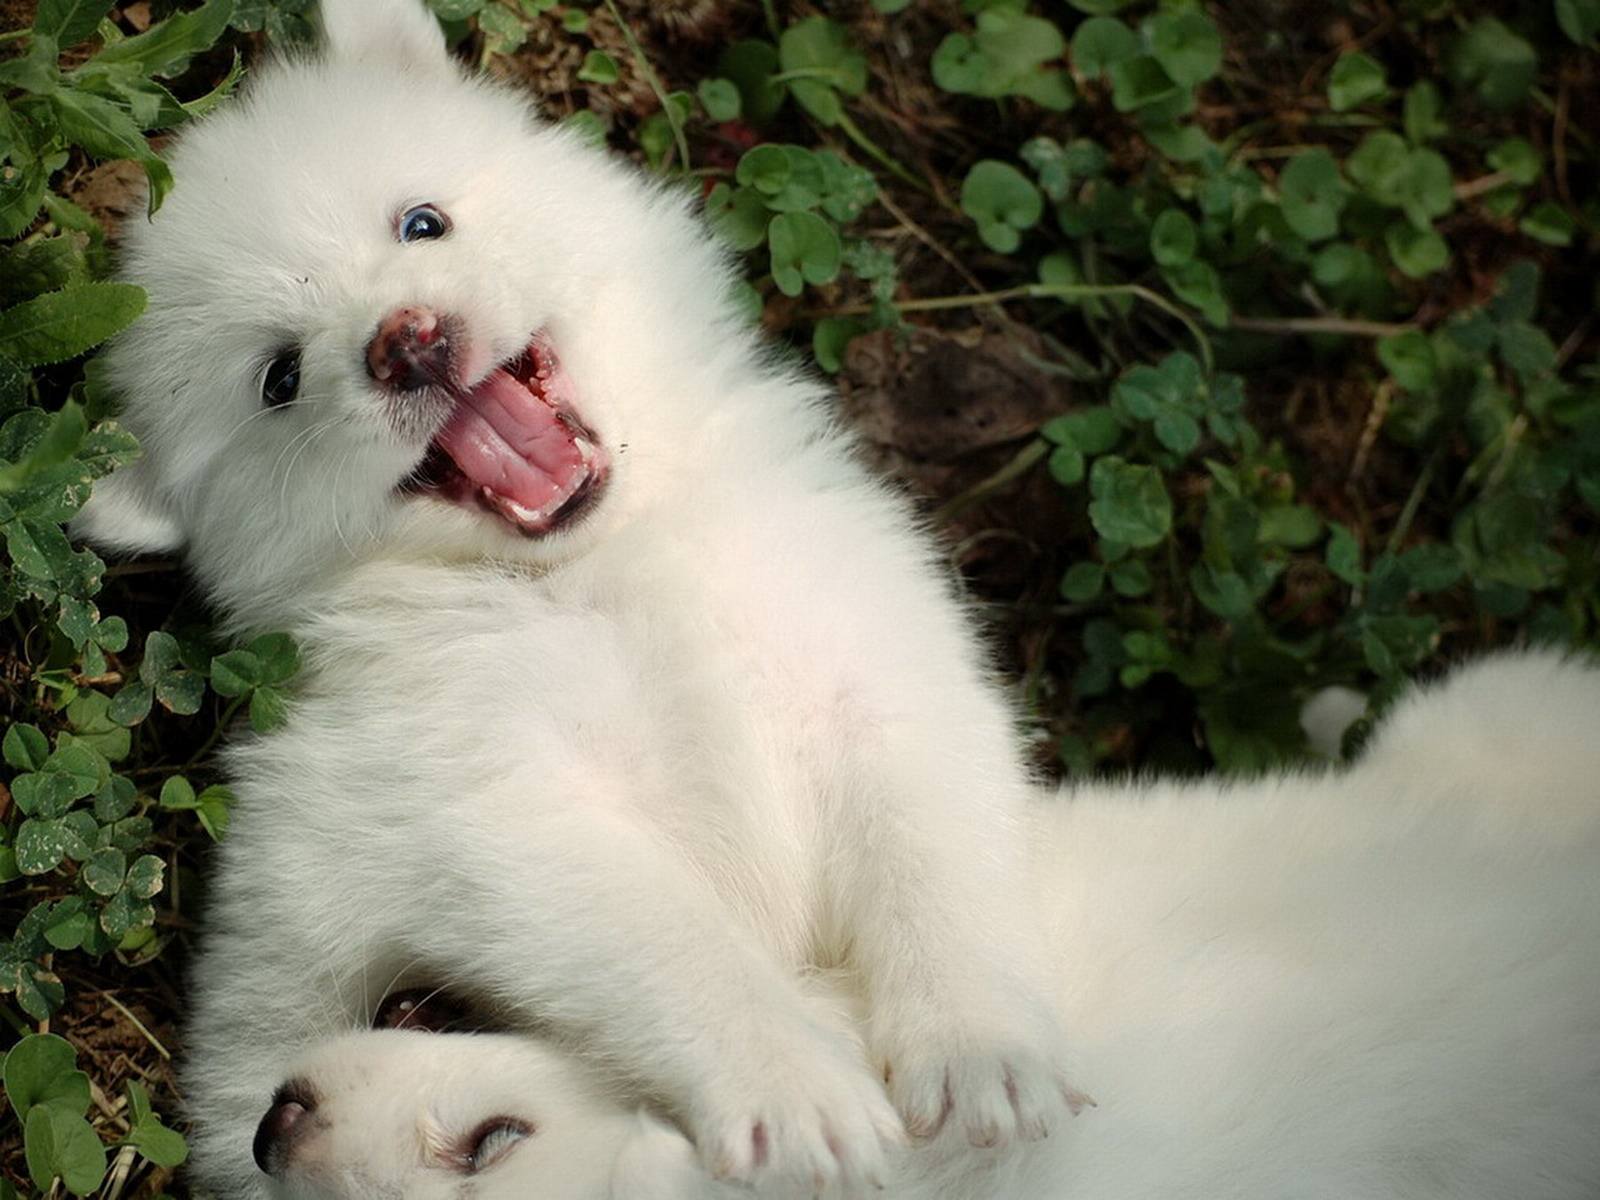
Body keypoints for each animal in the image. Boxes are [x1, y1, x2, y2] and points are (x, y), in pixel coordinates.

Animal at [75, 0, 1081, 1196]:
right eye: (279, 378)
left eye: (422, 223)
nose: (405, 341)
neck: (606, 561)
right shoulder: (504, 812)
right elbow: (676, 950)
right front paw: (793, 1084)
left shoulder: (876, 663)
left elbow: (937, 861)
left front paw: (979, 1045)